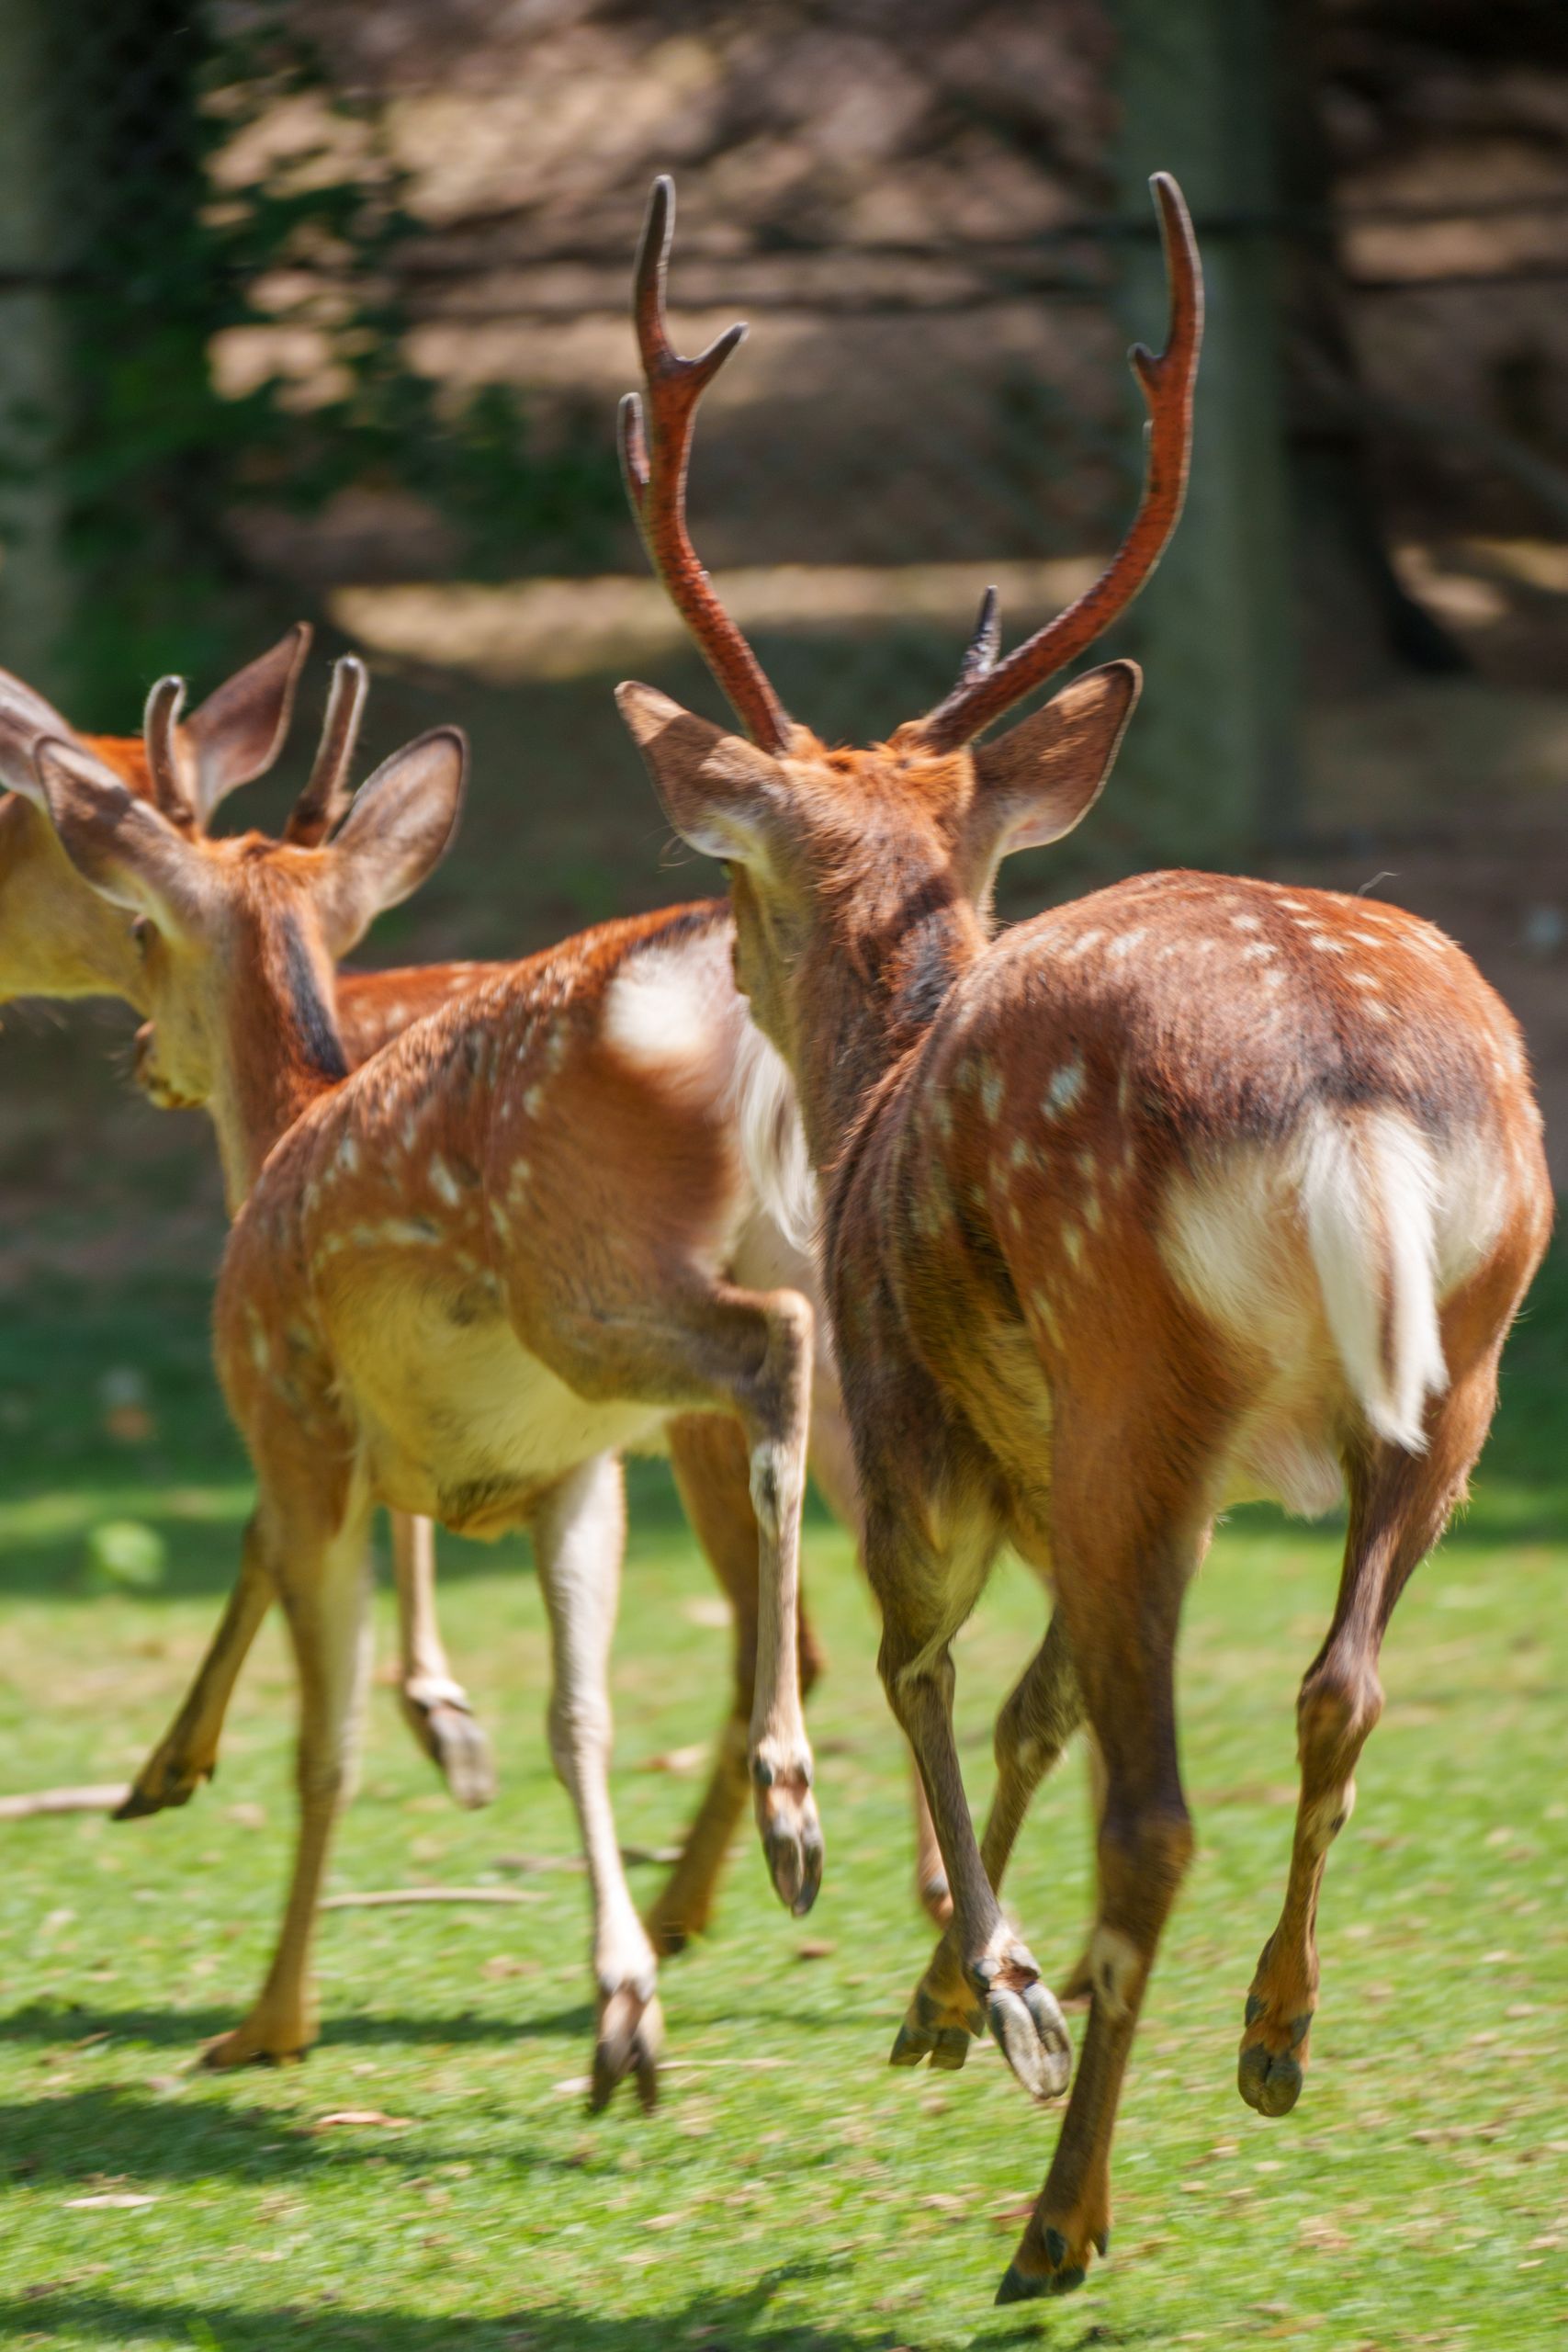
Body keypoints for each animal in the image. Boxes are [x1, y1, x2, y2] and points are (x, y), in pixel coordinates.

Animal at [24, 705, 825, 2104]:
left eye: (142, 931)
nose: (141, 1055)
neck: (285, 1127)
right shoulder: (572, 1476)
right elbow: (578, 1720)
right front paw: (624, 2011)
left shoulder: (291, 1415)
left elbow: (325, 1743)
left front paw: (269, 2017)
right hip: (798, 1246)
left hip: (588, 1285)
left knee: (774, 1347)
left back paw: (793, 1802)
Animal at [612, 172, 1553, 2298]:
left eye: (751, 883)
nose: (712, 947)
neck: (878, 1091)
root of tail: (1343, 1088)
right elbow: (1035, 1690)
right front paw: (947, 2002)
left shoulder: (914, 1421)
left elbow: (924, 1674)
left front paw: (992, 1996)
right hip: (1458, 1363)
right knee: (1335, 1690)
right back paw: (1273, 2041)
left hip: (1136, 1367)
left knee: (1155, 1804)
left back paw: (1059, 2218)